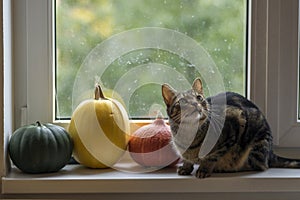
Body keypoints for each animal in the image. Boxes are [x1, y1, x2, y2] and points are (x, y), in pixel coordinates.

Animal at [163, 77, 300, 178]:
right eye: (183, 101)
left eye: (199, 97)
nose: (196, 104)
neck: (188, 134)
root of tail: (271, 153)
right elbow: (186, 159)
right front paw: (186, 167)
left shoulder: (235, 121)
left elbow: (212, 156)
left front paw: (204, 169)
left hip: (256, 145)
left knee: (259, 165)